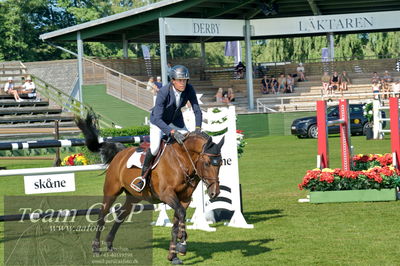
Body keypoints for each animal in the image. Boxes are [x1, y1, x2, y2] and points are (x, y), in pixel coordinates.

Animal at [75, 114, 225, 264]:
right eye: (207, 163)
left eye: (221, 163)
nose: (215, 192)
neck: (182, 160)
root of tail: (120, 153)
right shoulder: (167, 195)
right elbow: (181, 214)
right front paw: (182, 243)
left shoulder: (184, 199)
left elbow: (176, 223)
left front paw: (173, 256)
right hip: (111, 191)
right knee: (102, 215)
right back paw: (96, 248)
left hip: (133, 197)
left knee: (121, 215)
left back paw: (110, 244)